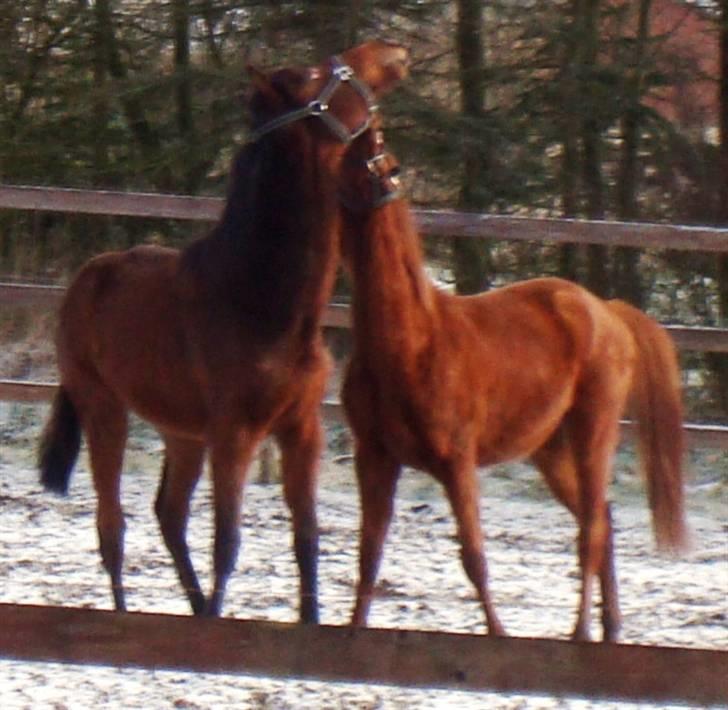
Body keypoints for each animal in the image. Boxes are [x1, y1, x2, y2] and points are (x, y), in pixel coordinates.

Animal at [38, 43, 410, 624]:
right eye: (313, 75)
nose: (390, 52)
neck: (257, 297)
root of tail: (88, 275)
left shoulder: (301, 429)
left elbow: (306, 539)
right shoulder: (235, 434)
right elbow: (228, 542)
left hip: (183, 432)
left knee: (168, 514)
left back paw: (195, 609)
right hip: (105, 409)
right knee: (112, 527)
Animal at [336, 125, 688, 644]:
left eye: (383, 161)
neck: (411, 341)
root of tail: (606, 310)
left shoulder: (457, 462)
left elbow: (475, 558)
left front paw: (498, 635)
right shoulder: (375, 457)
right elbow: (368, 556)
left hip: (592, 434)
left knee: (591, 531)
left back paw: (581, 633)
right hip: (550, 452)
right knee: (600, 520)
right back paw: (610, 628)